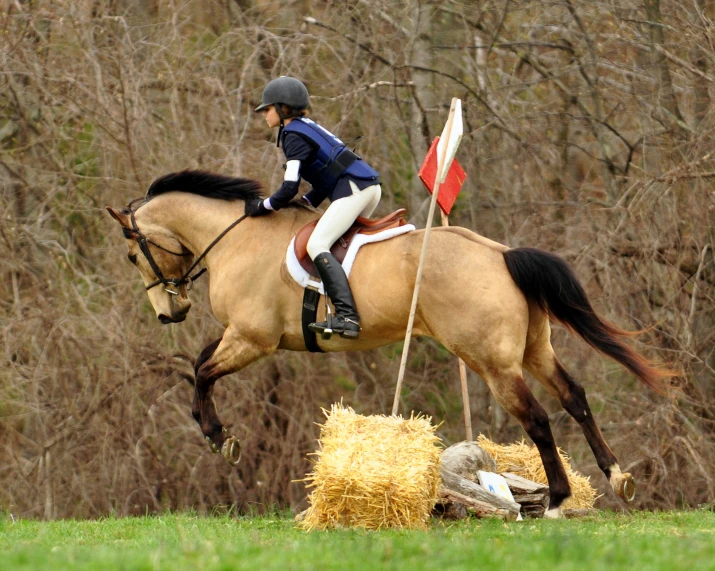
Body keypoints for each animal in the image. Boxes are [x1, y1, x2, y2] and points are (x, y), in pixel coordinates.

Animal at [106, 170, 672, 520]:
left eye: (133, 256)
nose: (169, 313)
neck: (236, 237)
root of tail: (501, 254)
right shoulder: (243, 337)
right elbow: (200, 364)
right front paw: (215, 431)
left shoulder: (252, 338)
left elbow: (202, 371)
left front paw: (218, 437)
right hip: (532, 350)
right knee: (574, 396)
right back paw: (617, 477)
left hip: (492, 361)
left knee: (536, 417)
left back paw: (555, 500)